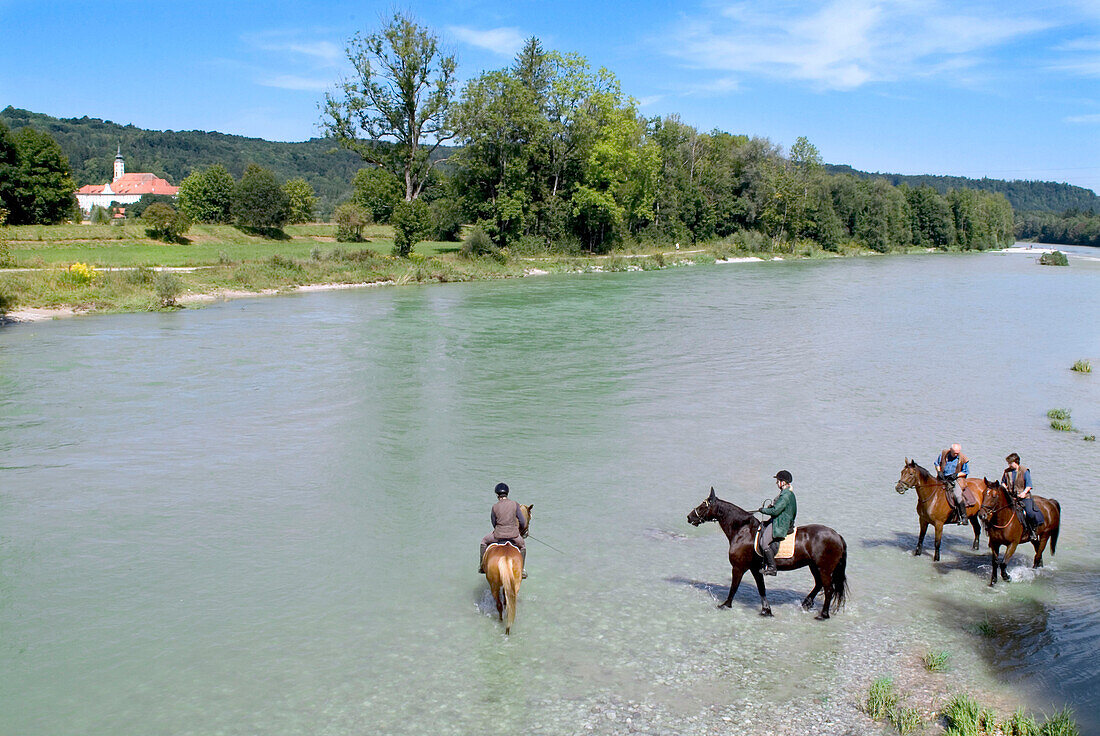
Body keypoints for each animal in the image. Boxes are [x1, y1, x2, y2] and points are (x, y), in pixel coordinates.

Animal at [686, 488, 849, 620]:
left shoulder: (738, 567)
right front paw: (766, 611)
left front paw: (725, 605)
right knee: (819, 584)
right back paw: (806, 604)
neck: (742, 531)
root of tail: (837, 535)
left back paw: (823, 615)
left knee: (828, 589)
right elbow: (761, 588)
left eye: (703, 506)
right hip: (814, 566)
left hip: (824, 568)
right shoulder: (755, 568)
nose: (689, 517)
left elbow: (734, 587)